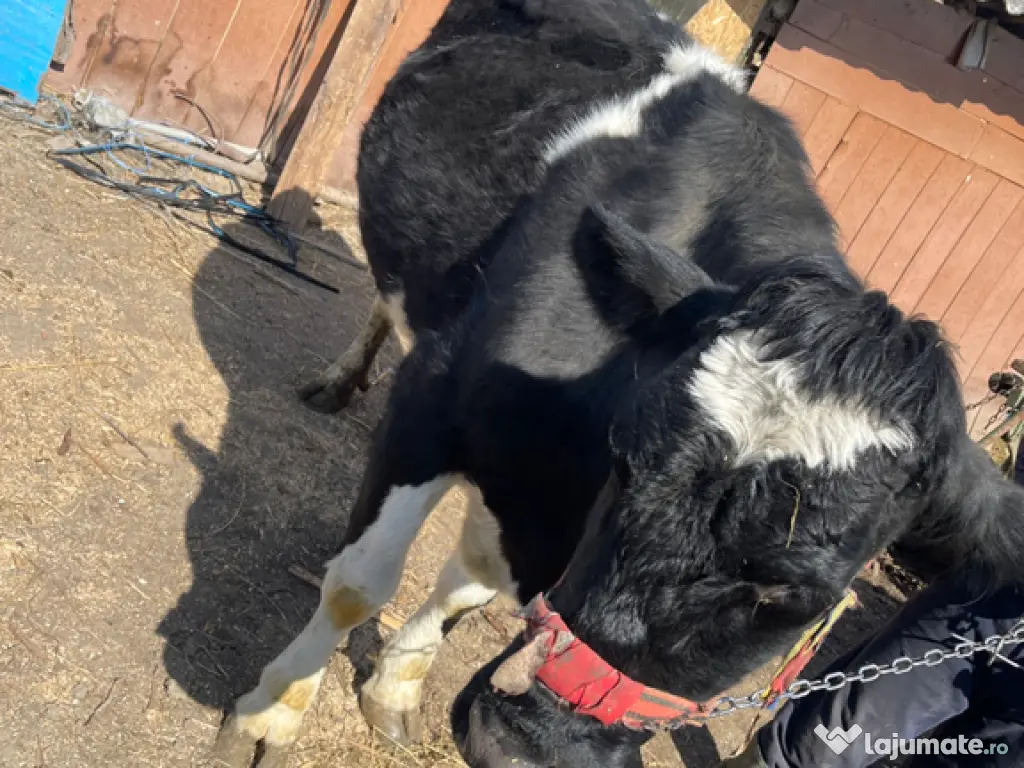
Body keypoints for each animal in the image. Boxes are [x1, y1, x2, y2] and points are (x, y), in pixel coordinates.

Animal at [213, 2, 1024, 767]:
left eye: (795, 594)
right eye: (628, 465)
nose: (516, 748)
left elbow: (470, 583)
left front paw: (394, 689)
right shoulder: (433, 399)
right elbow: (359, 585)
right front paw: (269, 717)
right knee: (388, 300)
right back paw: (339, 380)